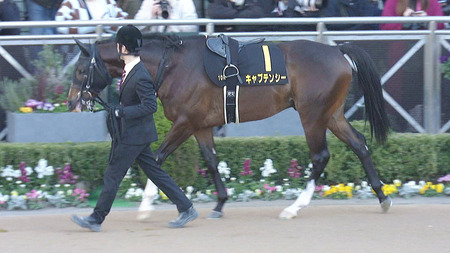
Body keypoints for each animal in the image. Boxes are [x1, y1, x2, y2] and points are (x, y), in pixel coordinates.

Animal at [66, 34, 390, 219]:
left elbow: (157, 158)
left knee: (320, 156)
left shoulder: (184, 122)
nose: (71, 102)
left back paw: (294, 207)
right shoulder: (200, 125)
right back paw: (383, 197)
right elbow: (210, 161)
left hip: (312, 116)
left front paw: (146, 206)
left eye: (81, 70)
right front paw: (220, 204)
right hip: (331, 114)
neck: (172, 66)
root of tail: (338, 52)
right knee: (359, 144)